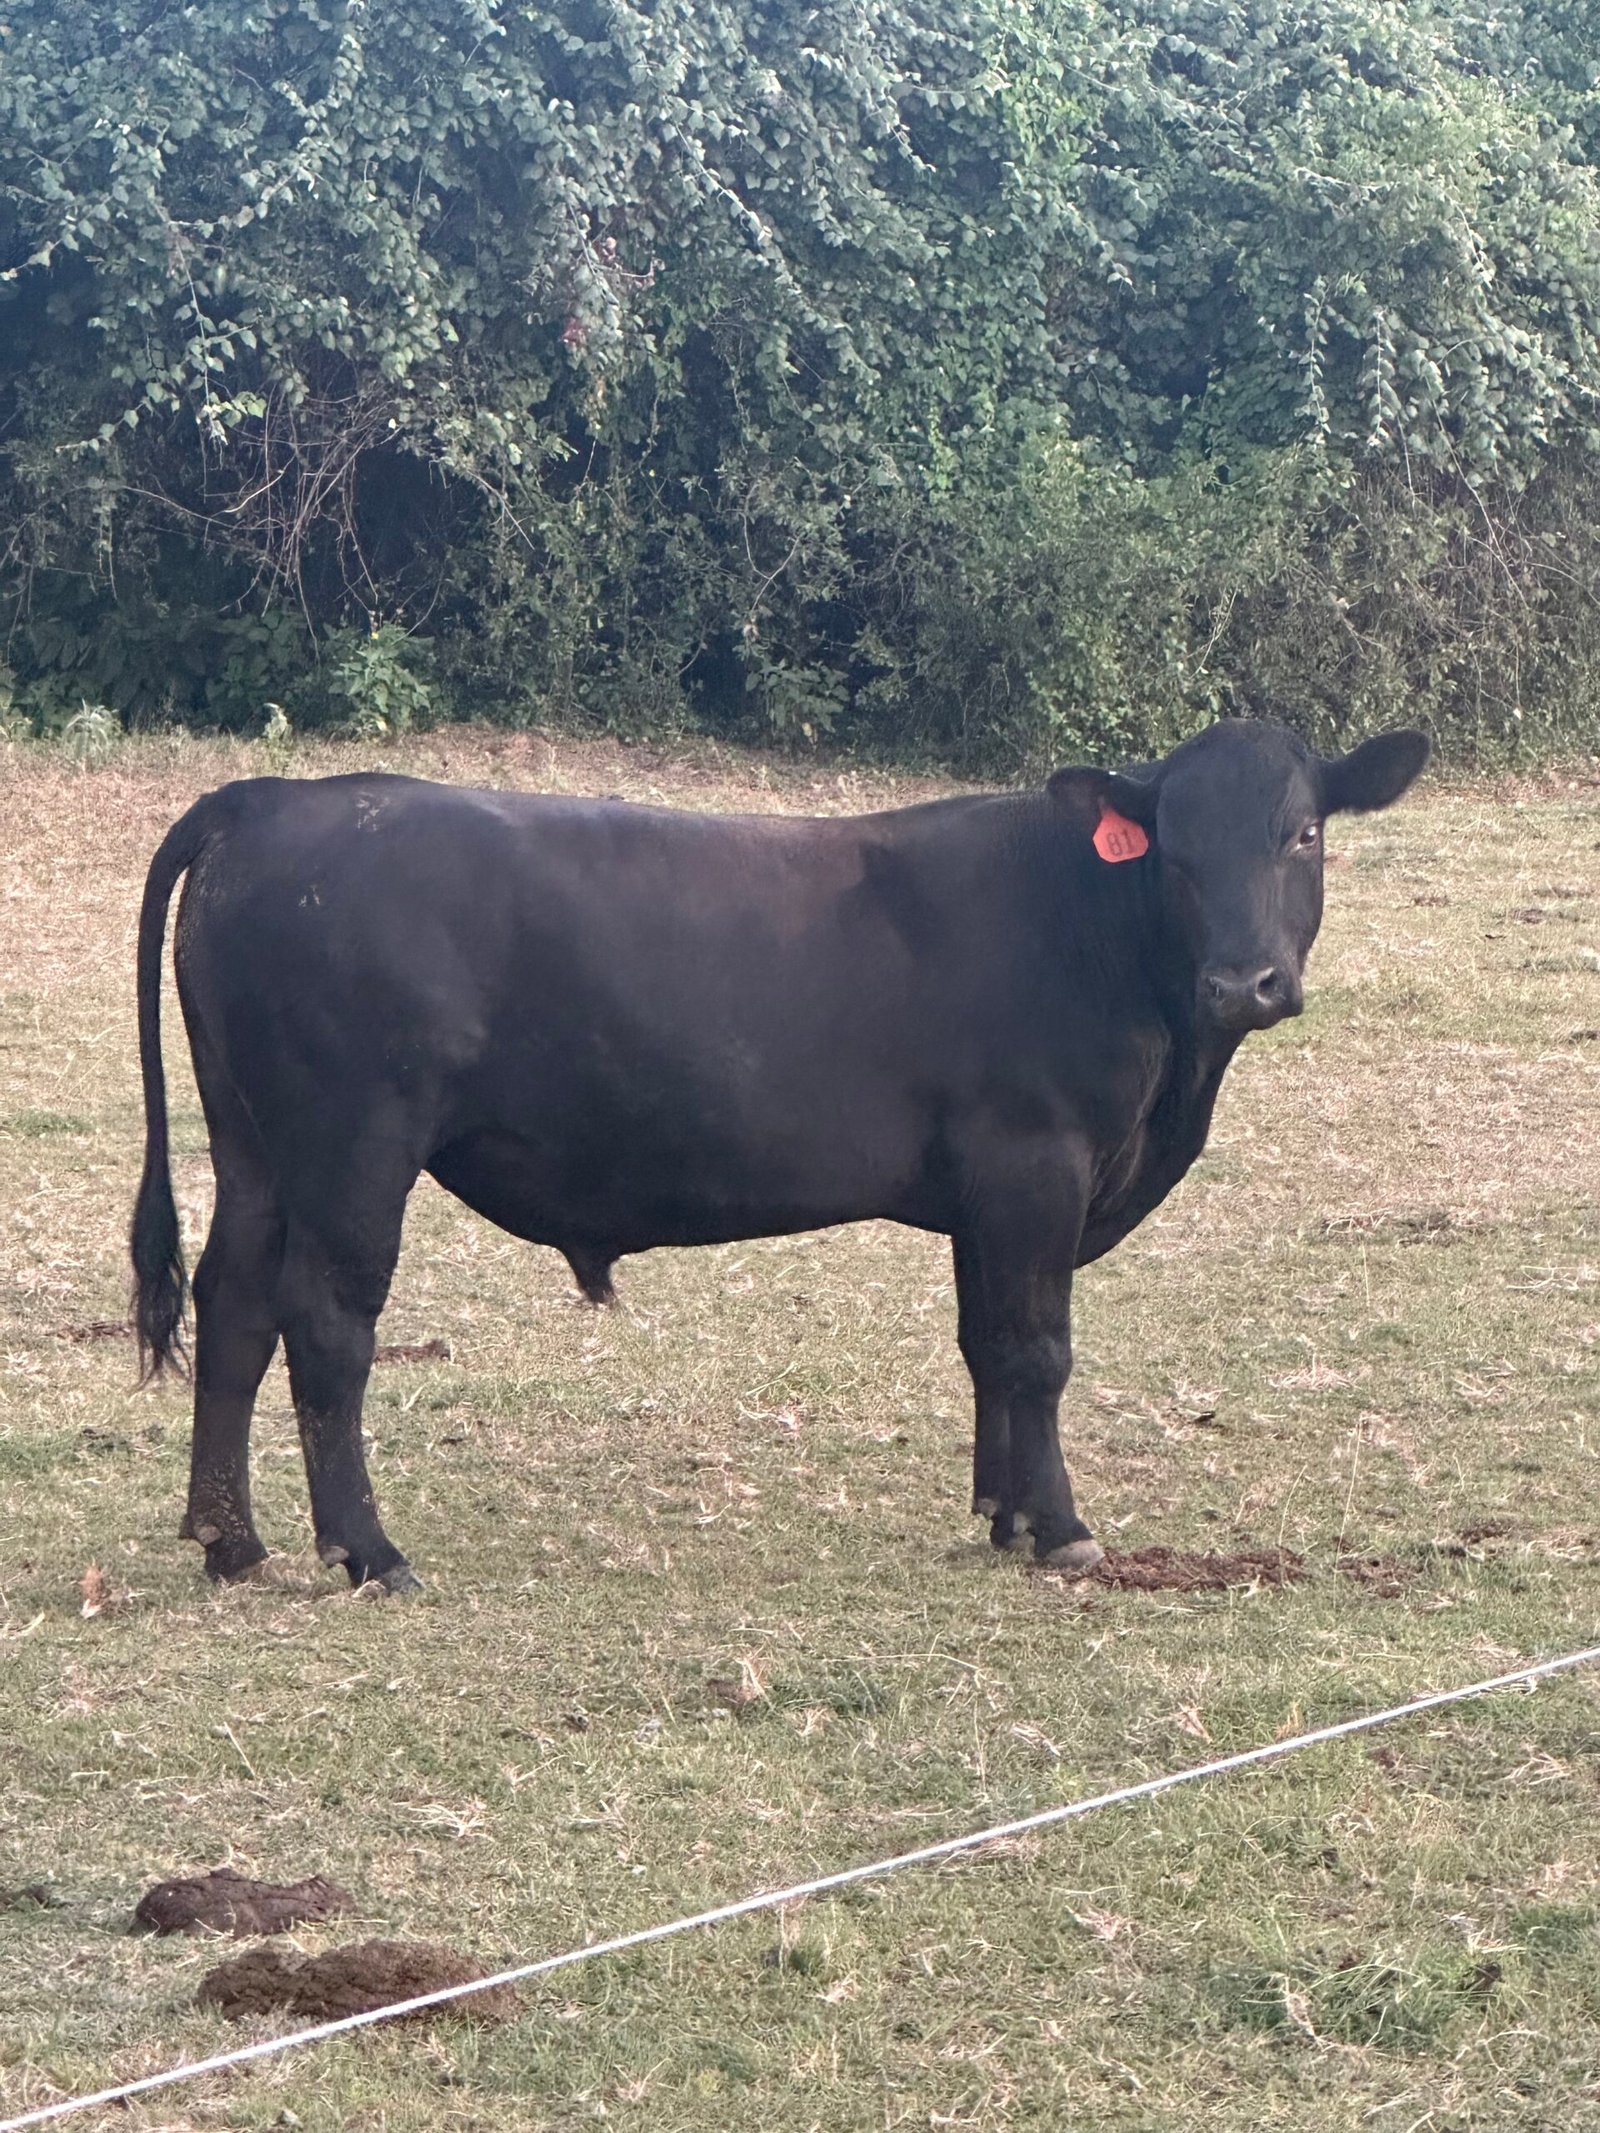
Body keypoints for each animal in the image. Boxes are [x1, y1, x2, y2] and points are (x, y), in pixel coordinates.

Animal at [130, 719, 1428, 1592]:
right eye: (1171, 852)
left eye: (1302, 831)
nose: (1243, 982)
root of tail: (277, 798)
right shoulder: (1036, 1161)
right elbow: (1037, 1349)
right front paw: (1058, 1528)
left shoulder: (987, 1192)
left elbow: (986, 1348)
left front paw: (1003, 1511)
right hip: (354, 1147)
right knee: (325, 1325)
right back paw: (366, 1549)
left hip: (254, 1147)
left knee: (234, 1304)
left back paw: (229, 1540)